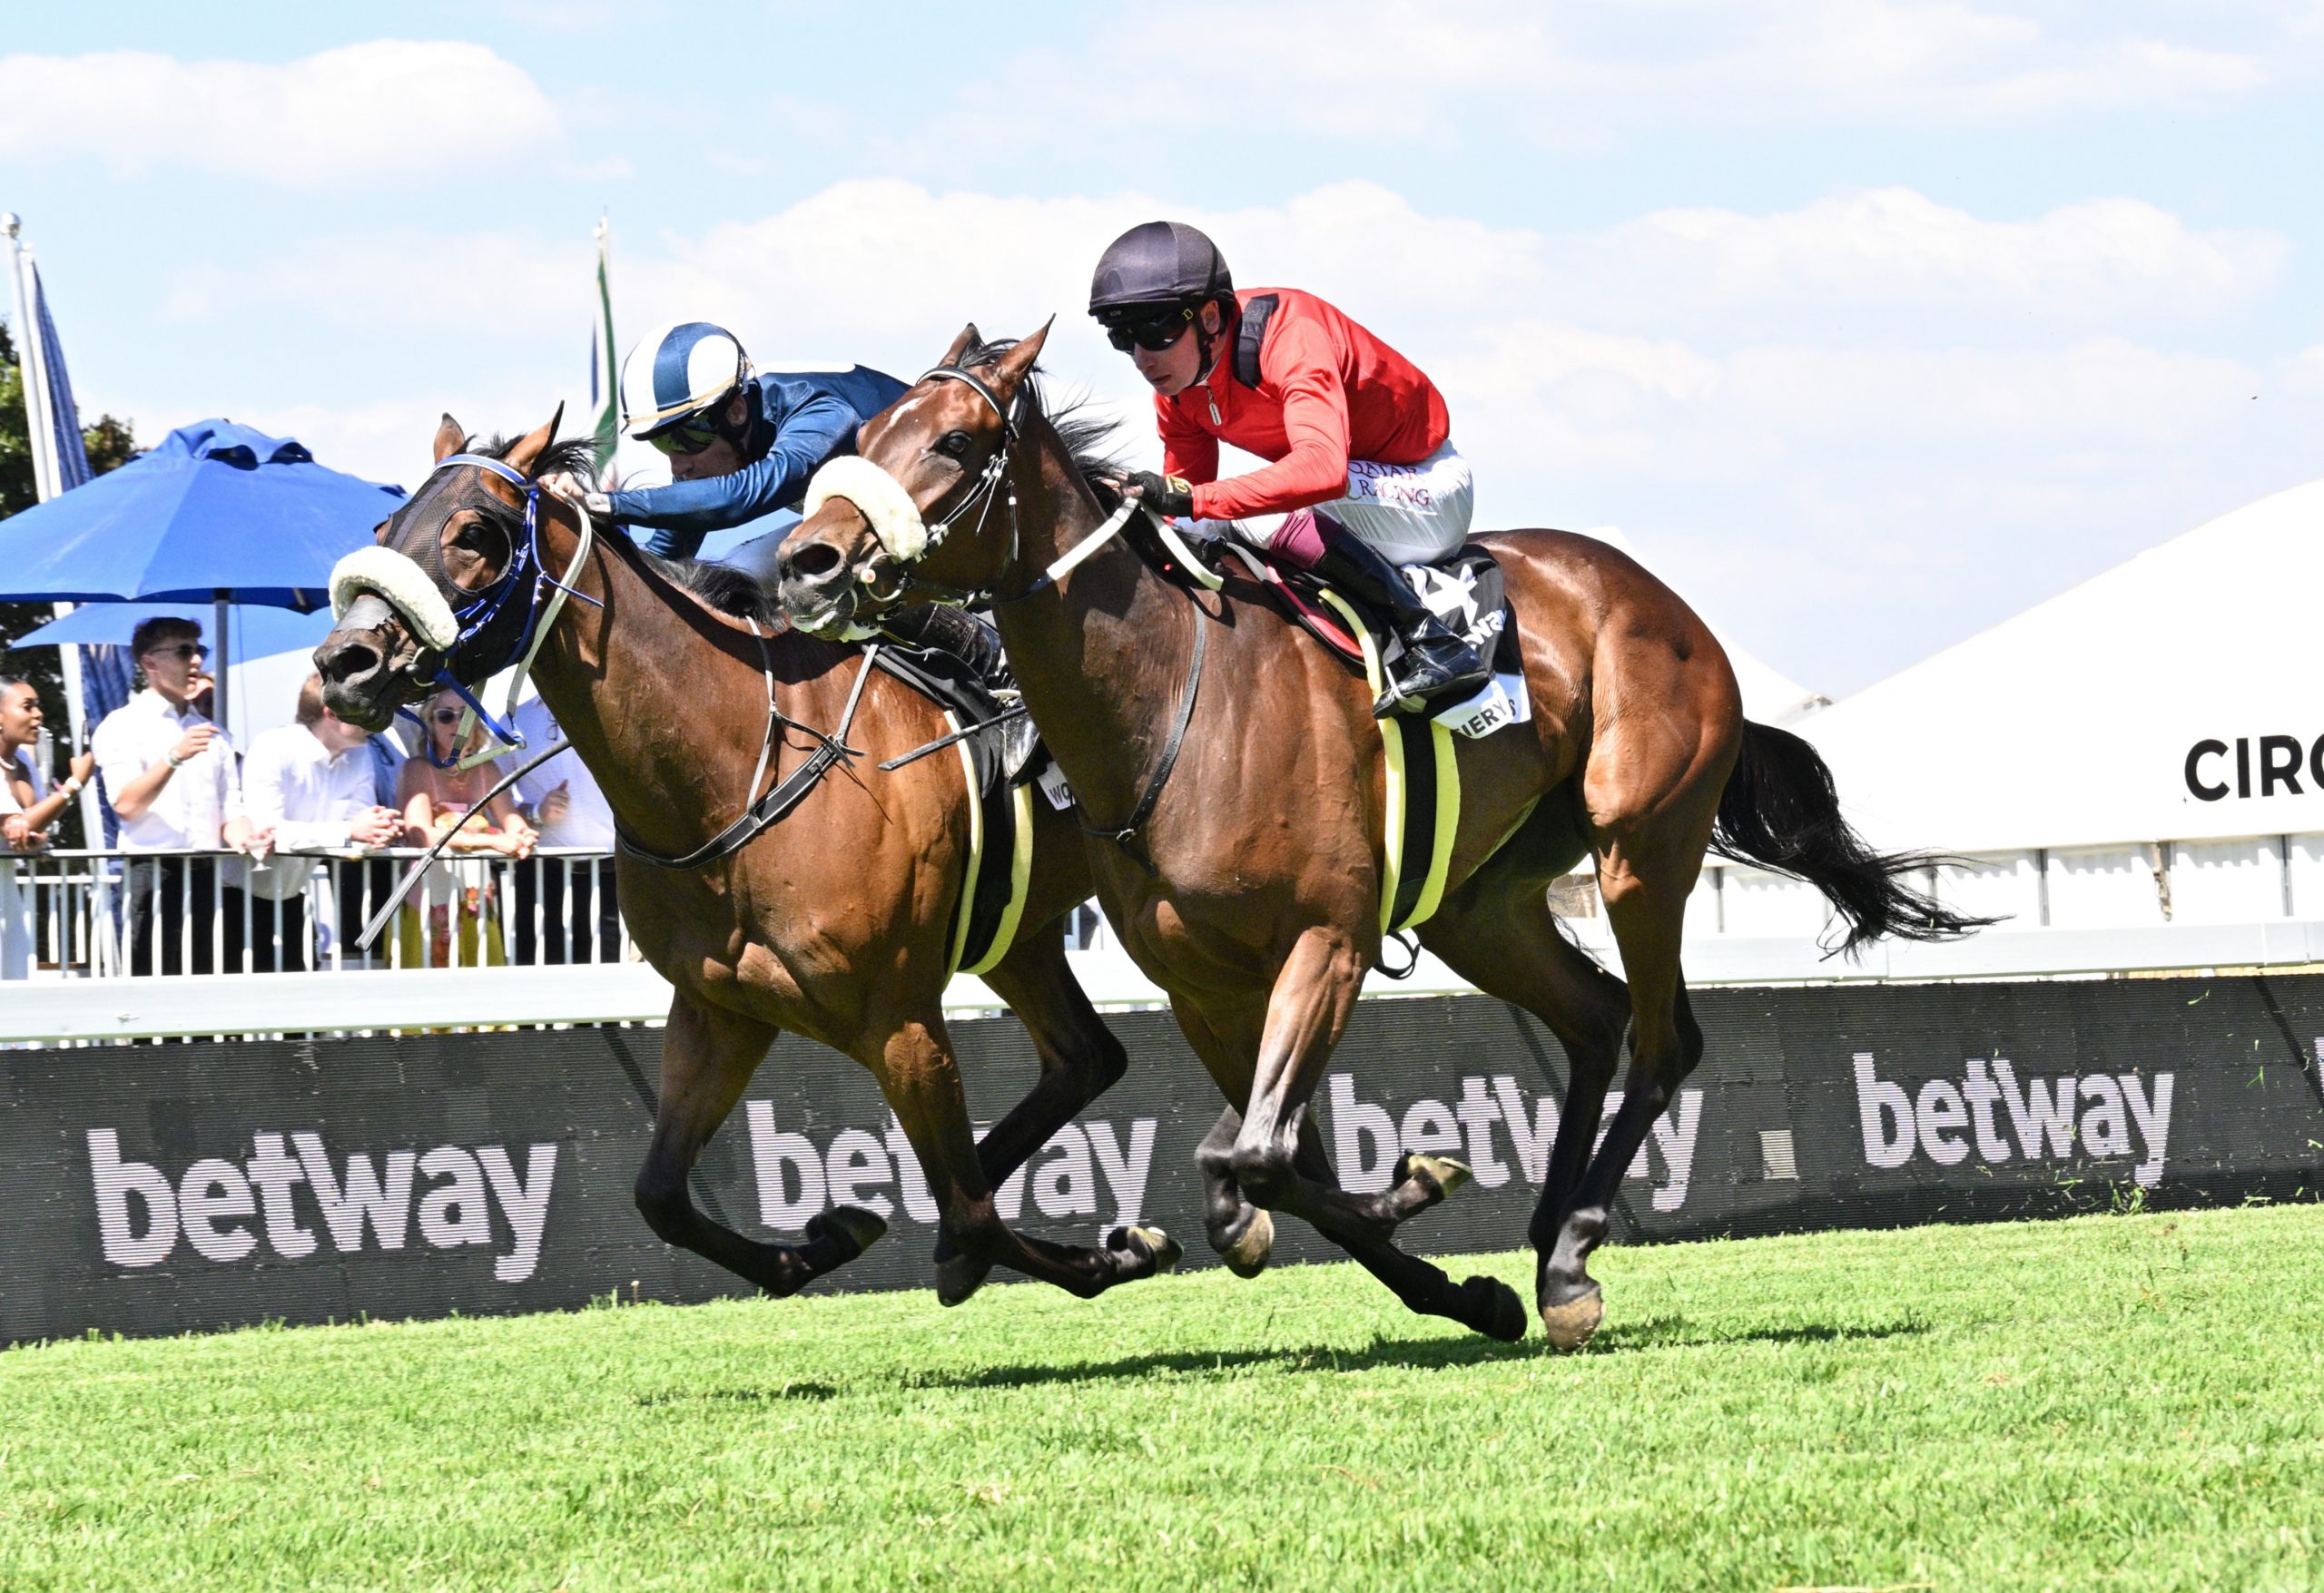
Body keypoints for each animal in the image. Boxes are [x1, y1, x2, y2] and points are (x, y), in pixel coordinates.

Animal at [311, 408, 1189, 1309]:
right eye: (383, 529)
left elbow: (973, 1219)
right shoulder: (719, 1010)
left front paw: (1118, 1251)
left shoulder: (898, 1015)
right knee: (1087, 1057)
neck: (734, 768)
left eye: (473, 532)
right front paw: (831, 1233)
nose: (344, 664)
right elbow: (660, 1194)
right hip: (1014, 930)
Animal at [776, 325, 1980, 1346]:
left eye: (954, 441)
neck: (1167, 696)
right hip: (1477, 904)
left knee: (1658, 1037)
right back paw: (1548, 1243)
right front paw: (1438, 1243)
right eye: (856, 445)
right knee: (1593, 1019)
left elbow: (1257, 1154)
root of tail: (1663, 602)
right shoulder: (1199, 979)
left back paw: (1574, 1259)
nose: (807, 562)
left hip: (1639, 845)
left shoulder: (1330, 938)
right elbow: (1280, 1155)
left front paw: (1340, 1211)